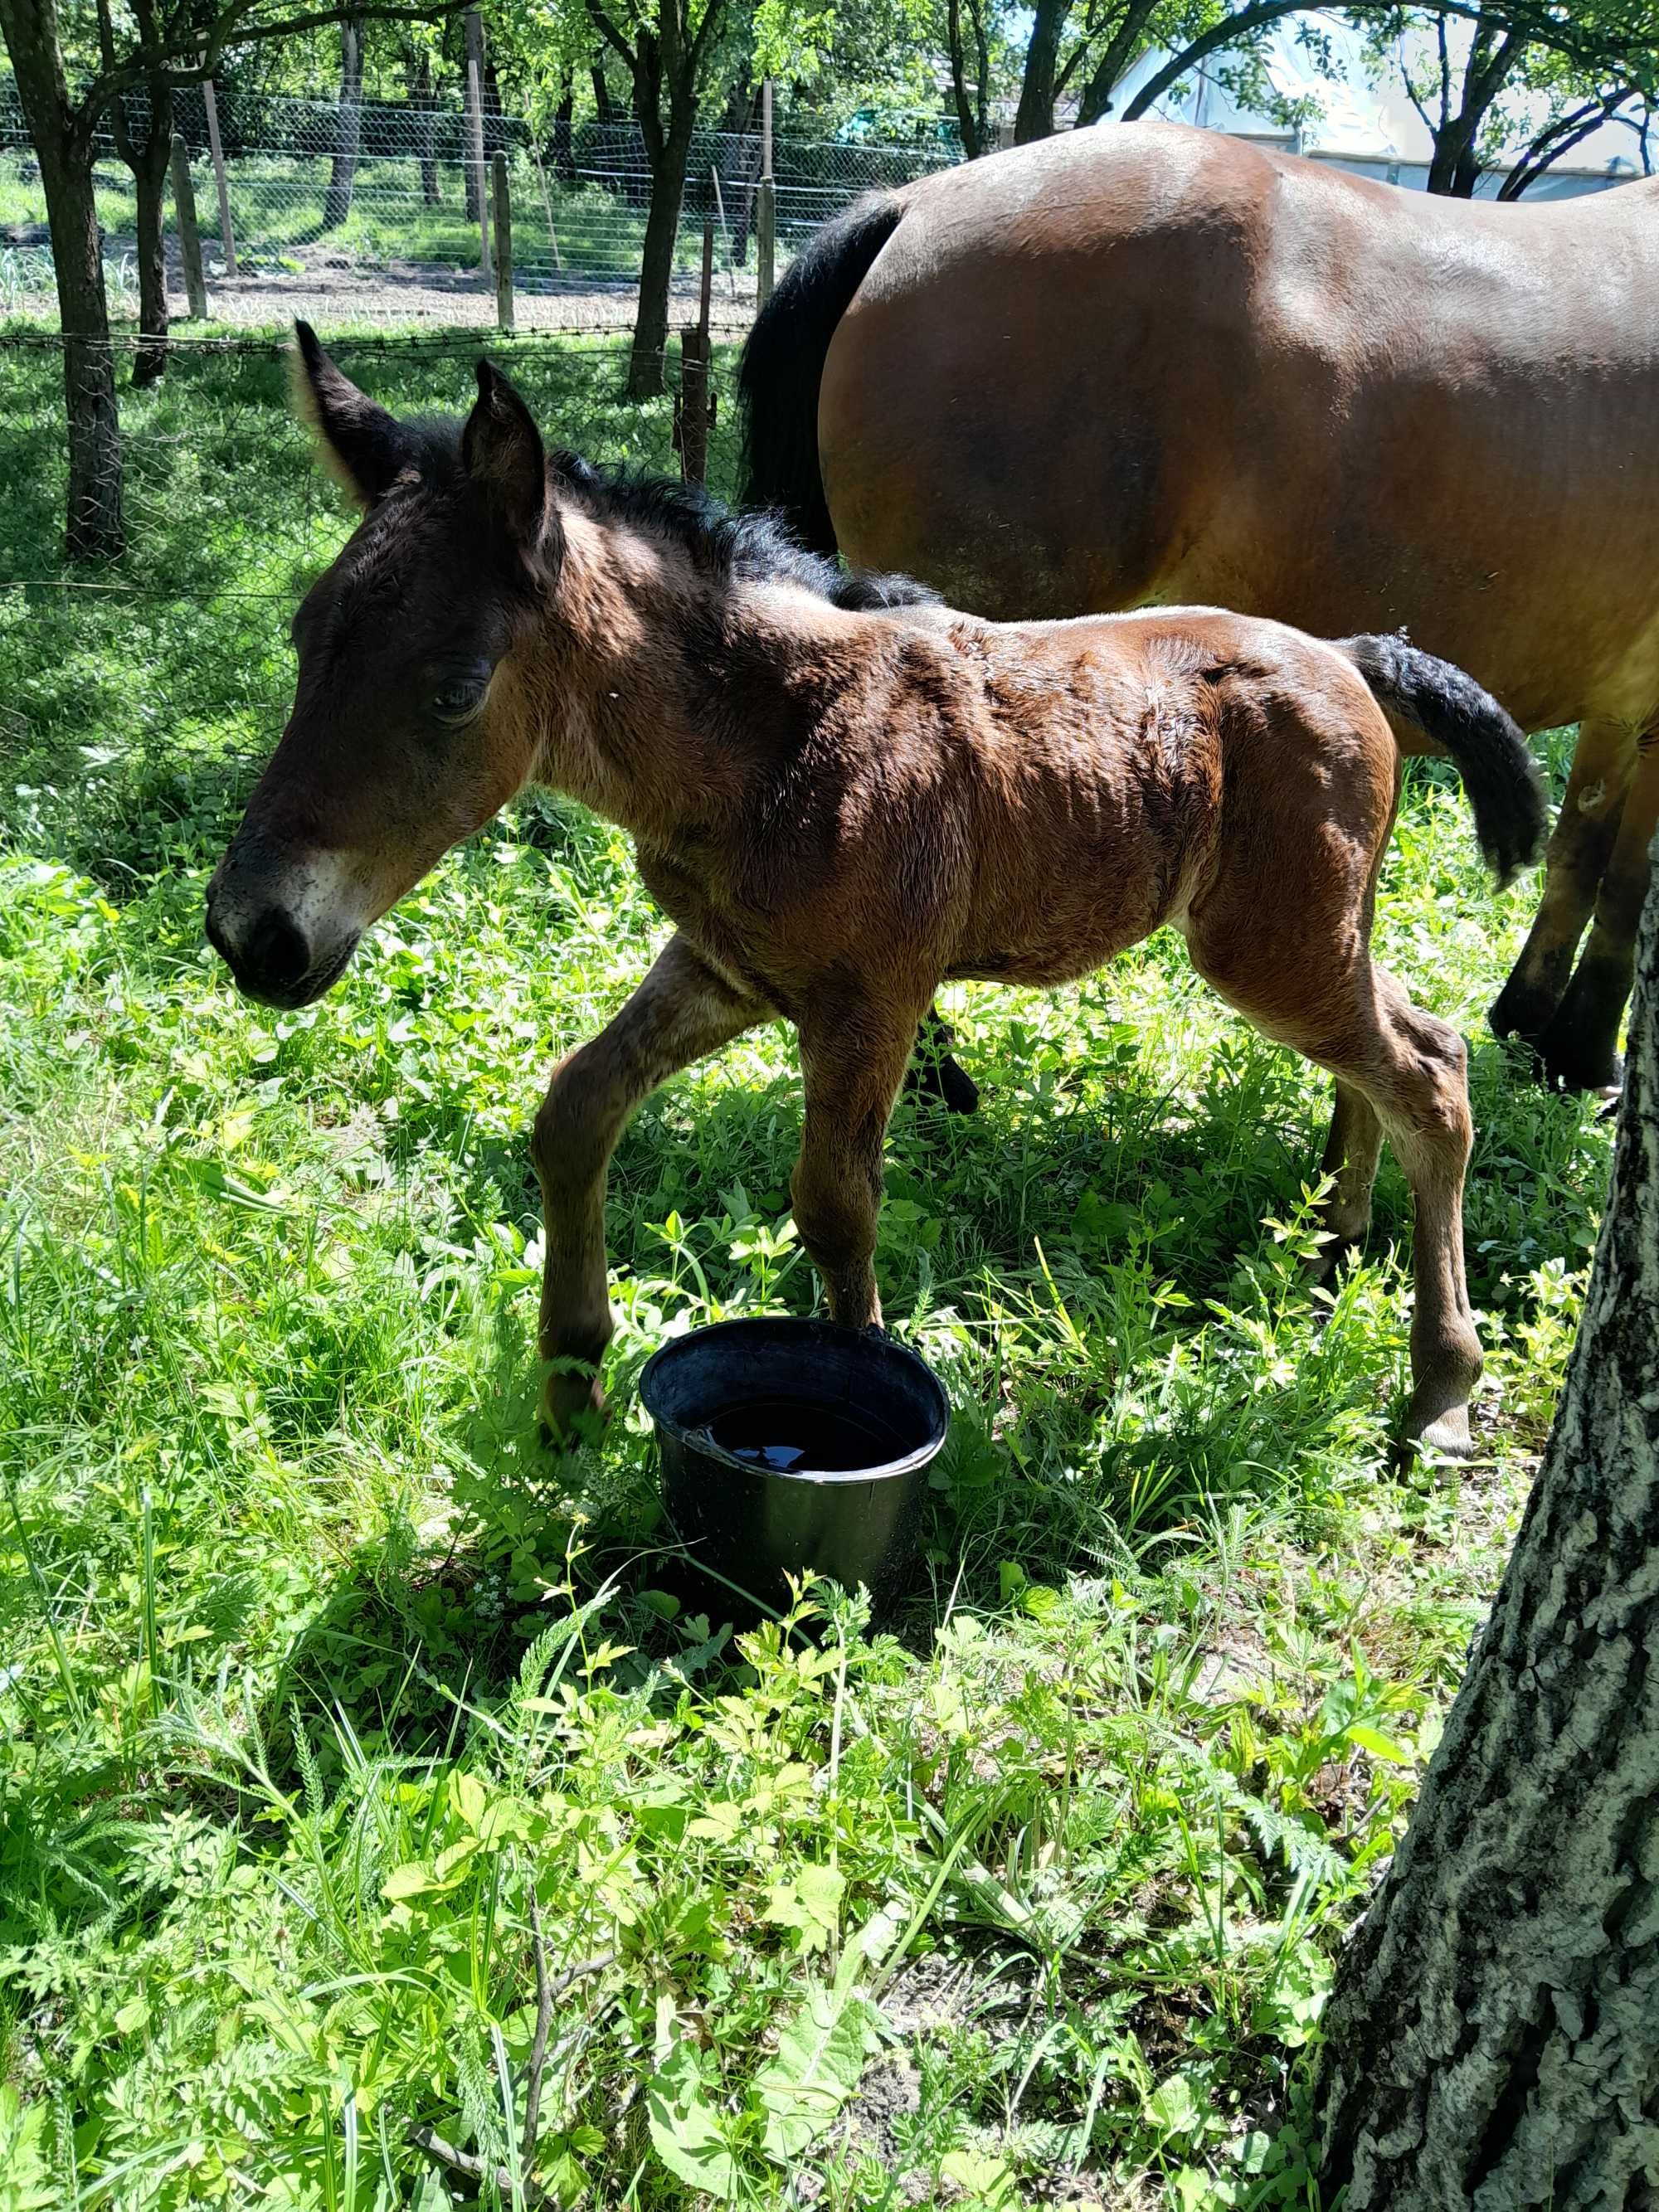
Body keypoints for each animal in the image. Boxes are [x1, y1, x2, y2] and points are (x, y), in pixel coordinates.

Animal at [204, 327, 1548, 1460]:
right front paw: (570, 1386)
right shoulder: (729, 969)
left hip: (1268, 944)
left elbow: (834, 1206)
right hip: (1317, 927)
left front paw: (859, 1402)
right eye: (303, 639)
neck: (767, 738)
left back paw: (1438, 1384)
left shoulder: (875, 1000)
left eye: (453, 686)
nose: (251, 934)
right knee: (1389, 1053)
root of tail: (1357, 657)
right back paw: (1334, 1238)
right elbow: (576, 1105)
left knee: (1432, 1071)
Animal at [743, 116, 1659, 1101]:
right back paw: (932, 1079)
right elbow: (1626, 884)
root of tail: (911, 204)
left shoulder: (1620, 702)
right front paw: (1582, 1046)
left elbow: (1579, 852)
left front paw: (1532, 1026)